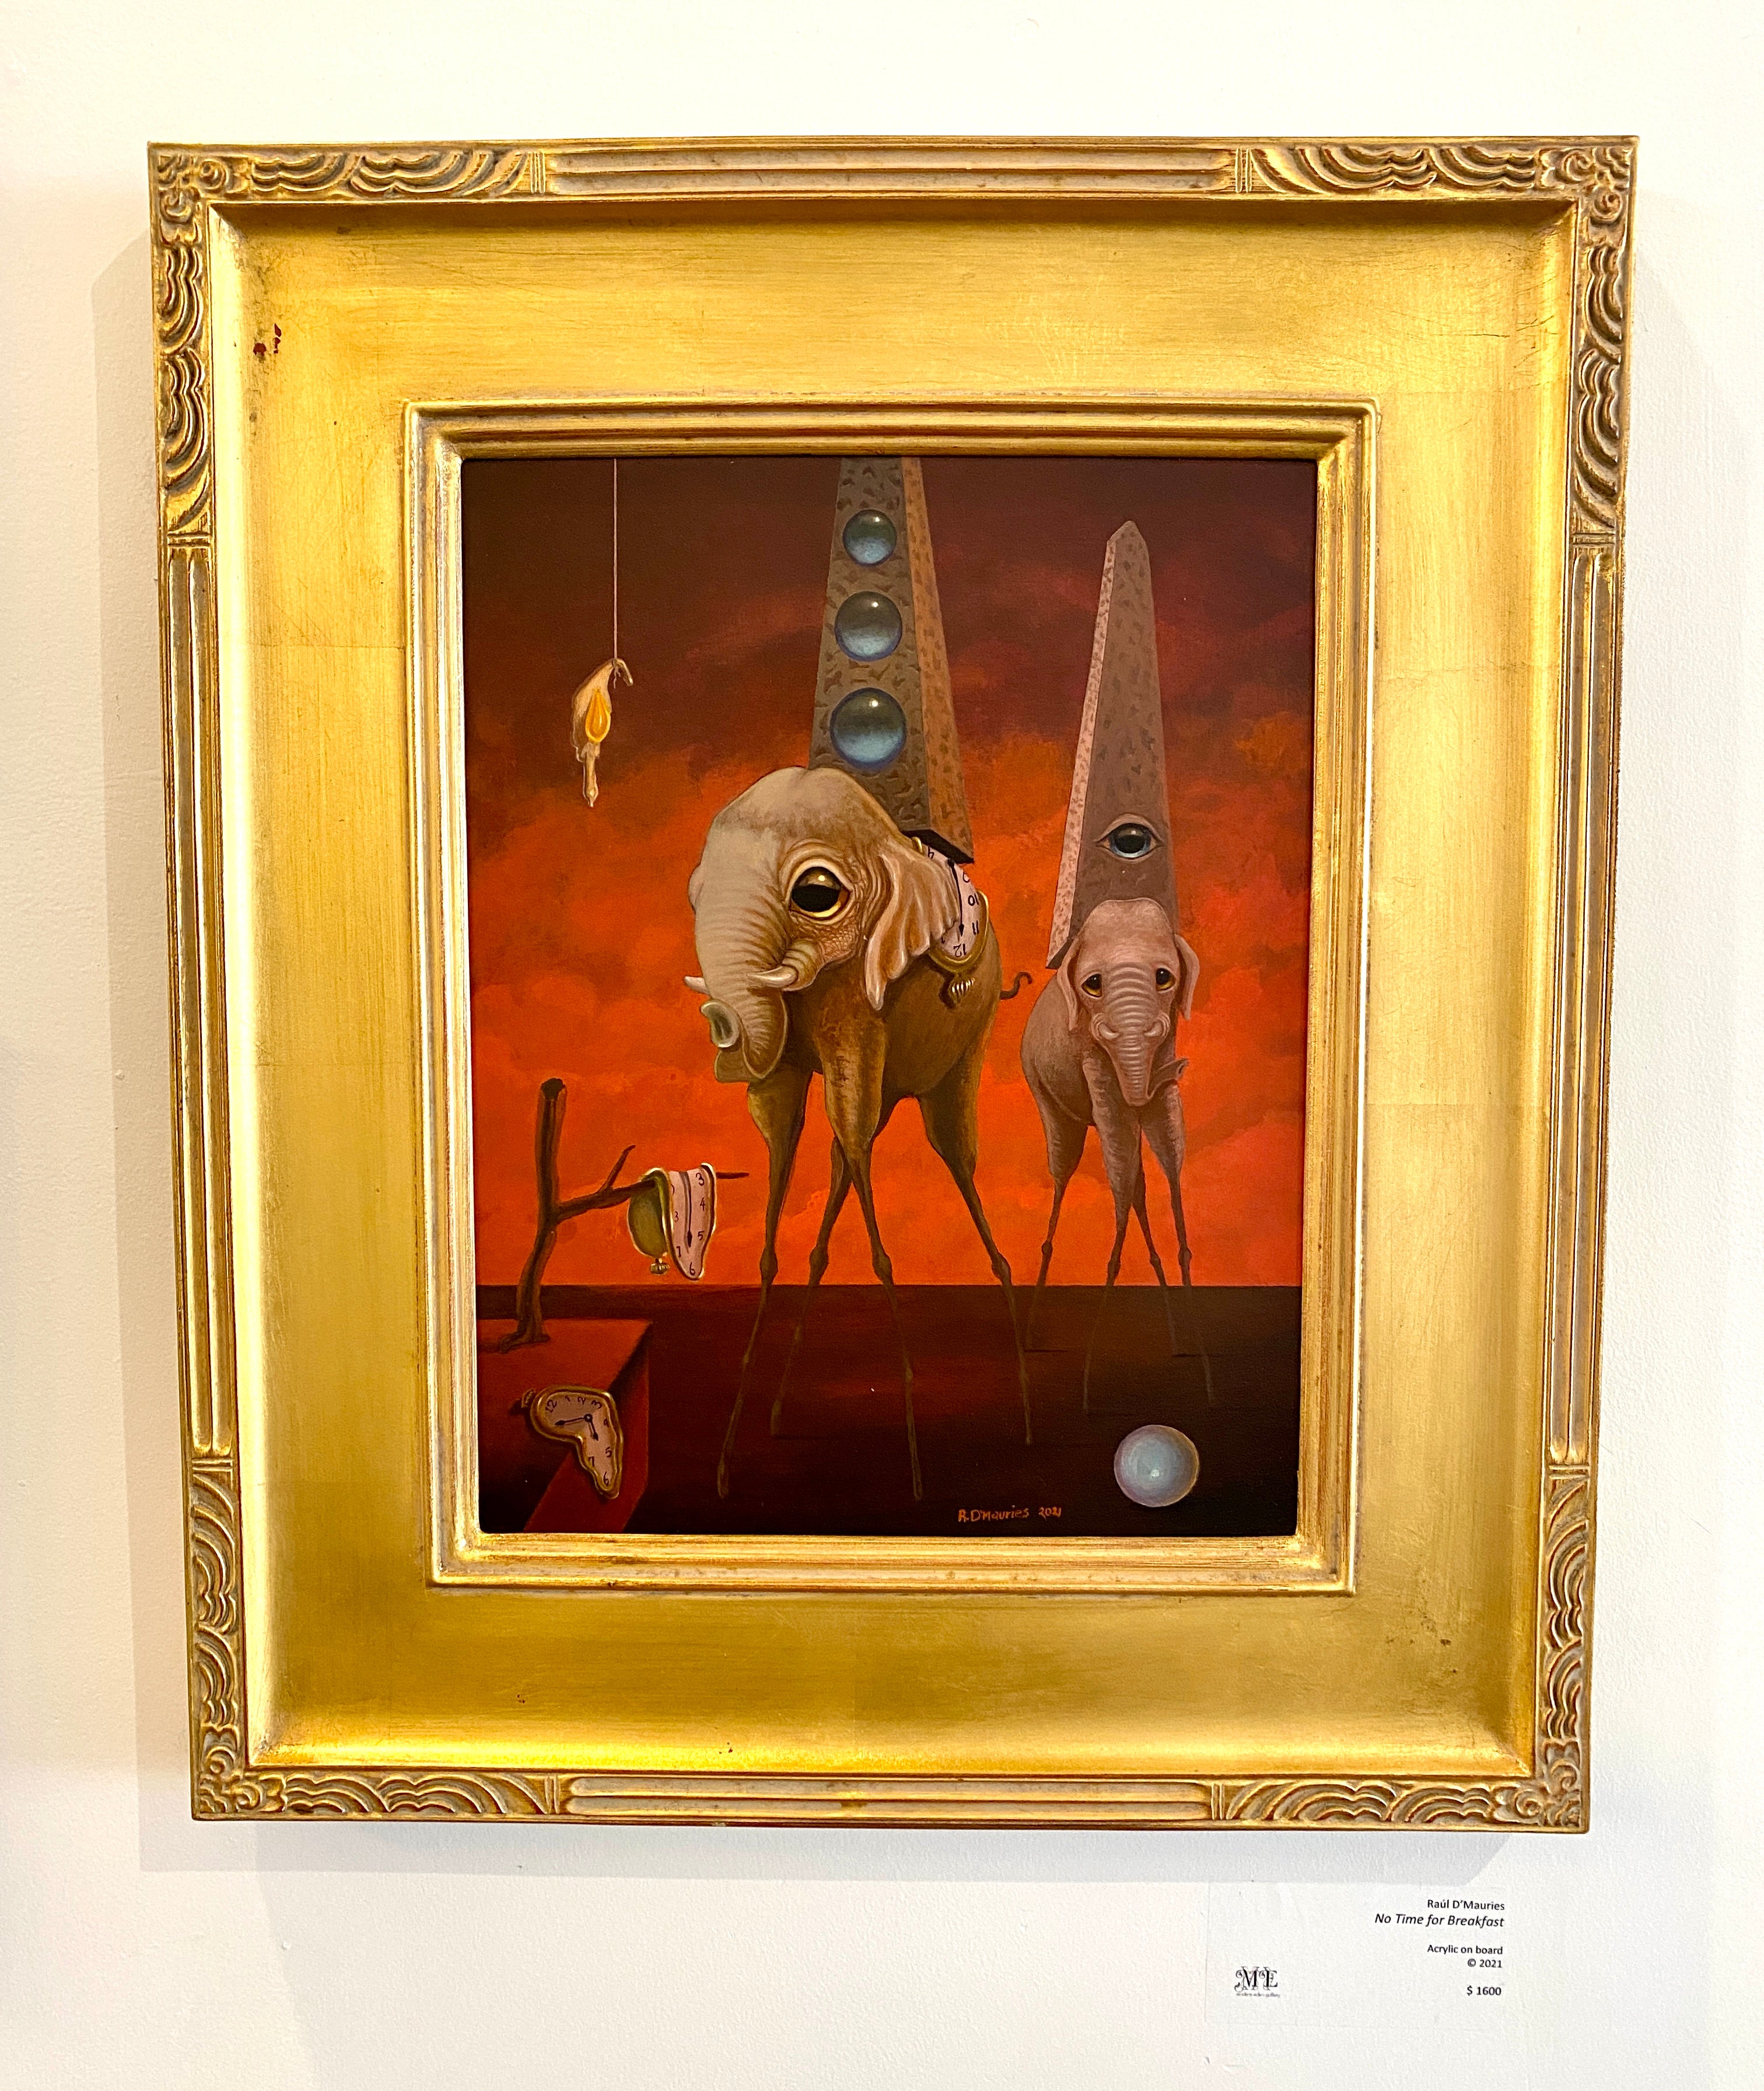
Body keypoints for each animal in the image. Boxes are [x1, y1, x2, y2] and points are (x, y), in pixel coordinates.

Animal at [685, 765, 1031, 1500]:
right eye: (694, 896)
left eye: (817, 894)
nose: (720, 1021)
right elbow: (783, 1123)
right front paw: (727, 1463)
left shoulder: (863, 992)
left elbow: (845, 1108)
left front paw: (916, 1472)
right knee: (852, 1153)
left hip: (974, 1030)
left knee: (940, 1147)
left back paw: (1022, 1406)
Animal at [1020, 896, 1211, 1405]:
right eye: (1093, 985)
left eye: (1165, 978)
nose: (1180, 1070)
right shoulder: (1092, 1056)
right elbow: (1120, 1162)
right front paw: (1088, 1380)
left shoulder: (1162, 1049)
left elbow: (1168, 1154)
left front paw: (1205, 1369)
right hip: (1042, 1089)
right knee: (1068, 1166)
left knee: (1140, 1184)